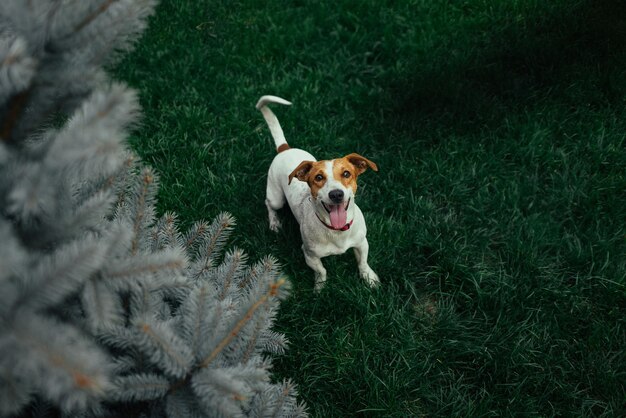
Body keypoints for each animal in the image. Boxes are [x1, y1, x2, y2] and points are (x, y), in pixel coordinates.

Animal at [255, 95, 380, 292]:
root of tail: (285, 149)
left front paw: (370, 278)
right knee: (269, 204)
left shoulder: (362, 243)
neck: (336, 231)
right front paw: (320, 288)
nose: (336, 194)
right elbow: (321, 271)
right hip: (276, 198)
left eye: (346, 174)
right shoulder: (309, 255)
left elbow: (363, 263)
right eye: (318, 177)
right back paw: (274, 222)